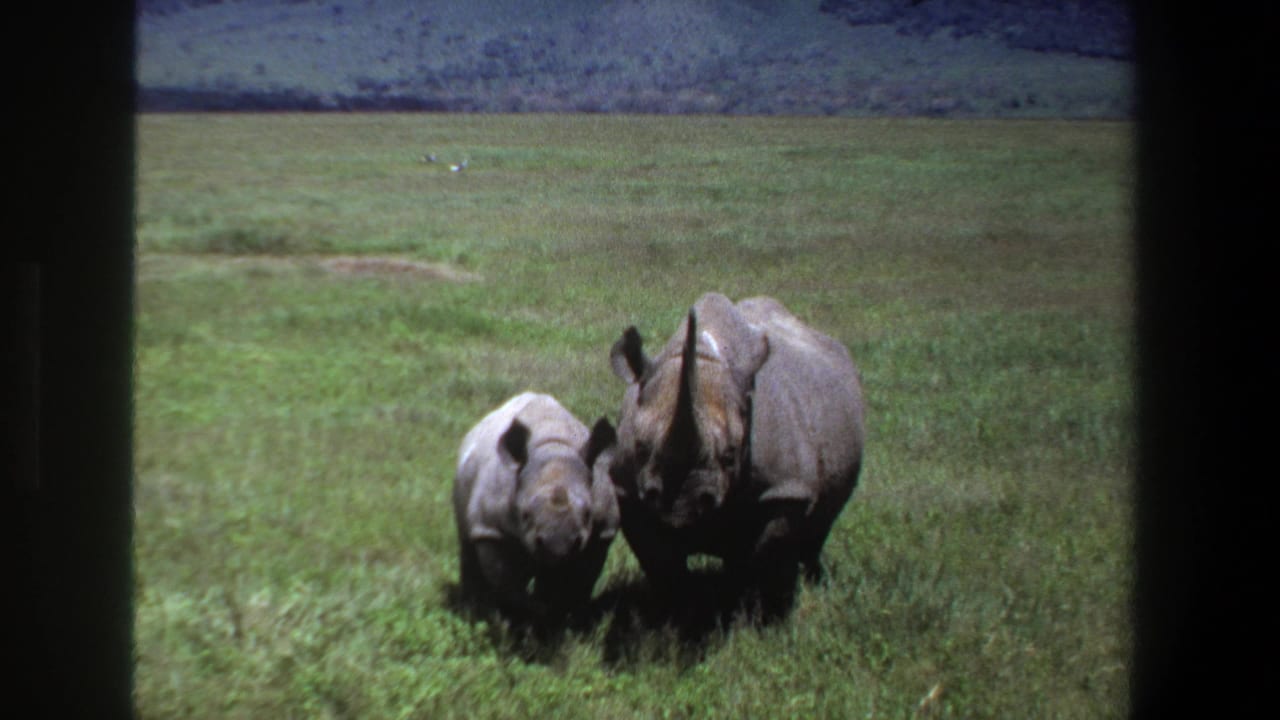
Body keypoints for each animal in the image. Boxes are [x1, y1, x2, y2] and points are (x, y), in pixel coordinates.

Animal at [453, 392, 618, 618]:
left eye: (587, 514)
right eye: (525, 515)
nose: (558, 545)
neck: (554, 446)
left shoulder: (601, 534)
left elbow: (581, 582)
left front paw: (565, 615)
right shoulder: (491, 529)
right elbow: (506, 581)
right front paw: (532, 612)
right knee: (467, 543)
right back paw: (473, 609)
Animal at [607, 293, 865, 610]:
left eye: (730, 455)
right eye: (641, 448)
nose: (683, 506)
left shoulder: (786, 489)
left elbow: (766, 555)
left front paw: (757, 612)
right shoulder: (629, 493)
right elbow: (662, 565)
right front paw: (681, 609)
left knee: (818, 528)